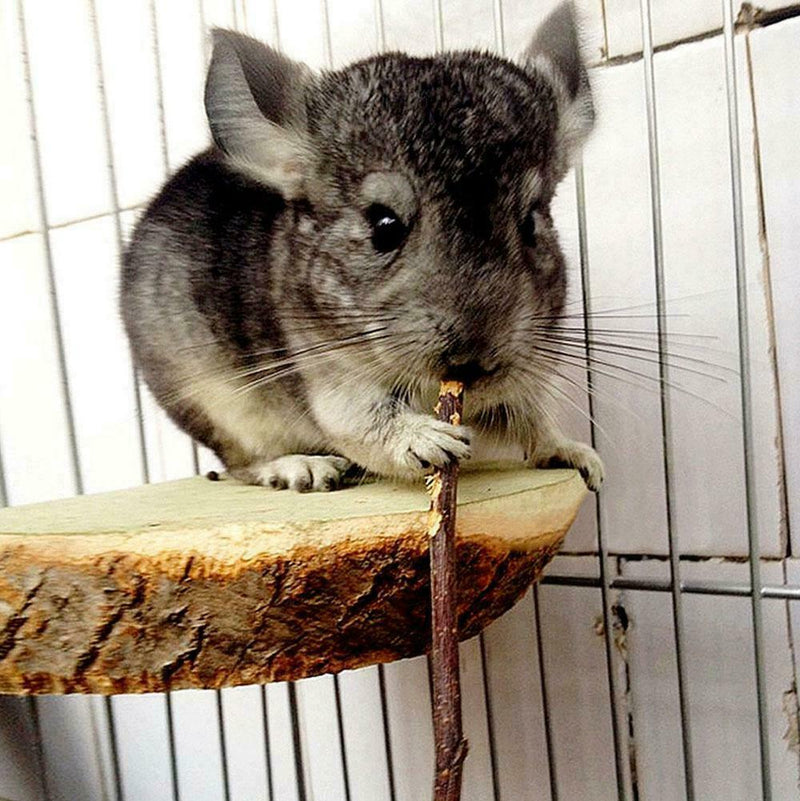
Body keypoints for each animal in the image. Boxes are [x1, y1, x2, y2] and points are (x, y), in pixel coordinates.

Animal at [121, 1, 604, 493]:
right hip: (217, 406)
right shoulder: (330, 381)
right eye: (384, 225)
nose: (472, 361)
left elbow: (531, 417)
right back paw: (302, 467)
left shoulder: (522, 377)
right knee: (241, 463)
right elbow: (366, 423)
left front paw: (578, 457)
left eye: (530, 222)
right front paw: (431, 441)